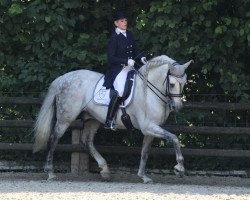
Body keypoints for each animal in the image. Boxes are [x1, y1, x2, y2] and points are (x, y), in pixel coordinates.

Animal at [33, 55, 192, 183]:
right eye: (172, 84)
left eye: (184, 82)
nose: (177, 106)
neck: (148, 91)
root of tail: (62, 78)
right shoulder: (148, 127)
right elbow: (174, 138)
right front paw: (179, 168)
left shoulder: (150, 129)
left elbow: (145, 152)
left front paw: (143, 176)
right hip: (65, 118)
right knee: (53, 139)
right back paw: (50, 173)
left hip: (92, 119)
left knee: (87, 141)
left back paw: (105, 170)